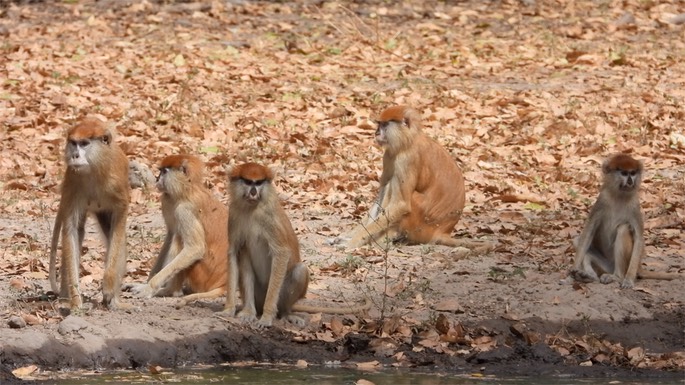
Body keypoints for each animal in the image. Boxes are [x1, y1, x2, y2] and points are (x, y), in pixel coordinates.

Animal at [48, 115, 130, 308]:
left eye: (85, 144)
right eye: (73, 143)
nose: (75, 155)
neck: (94, 168)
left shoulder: (116, 185)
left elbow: (120, 218)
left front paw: (108, 287)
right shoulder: (73, 182)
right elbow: (71, 230)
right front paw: (75, 299)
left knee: (116, 239)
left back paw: (114, 300)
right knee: (76, 234)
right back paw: (65, 297)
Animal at [131, 154, 230, 304]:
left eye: (164, 172)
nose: (157, 179)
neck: (186, 190)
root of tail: (224, 283)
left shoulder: (185, 210)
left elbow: (195, 248)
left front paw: (149, 288)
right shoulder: (167, 201)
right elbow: (170, 234)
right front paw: (145, 284)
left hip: (201, 274)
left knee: (179, 238)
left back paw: (170, 291)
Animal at [222, 162, 372, 328]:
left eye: (259, 183)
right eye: (248, 182)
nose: (254, 192)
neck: (252, 208)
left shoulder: (269, 219)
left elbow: (282, 253)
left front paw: (266, 317)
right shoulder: (234, 214)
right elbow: (233, 252)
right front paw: (228, 309)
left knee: (300, 271)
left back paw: (286, 314)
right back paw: (249, 311)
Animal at [340, 105, 488, 249]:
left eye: (384, 125)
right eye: (379, 124)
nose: (376, 133)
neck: (408, 139)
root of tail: (442, 232)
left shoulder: (407, 159)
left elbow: (402, 205)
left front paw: (353, 242)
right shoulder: (389, 155)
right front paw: (349, 236)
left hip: (420, 226)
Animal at [572, 153, 680, 288]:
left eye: (632, 173)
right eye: (623, 173)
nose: (630, 181)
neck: (620, 196)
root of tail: (639, 267)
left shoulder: (634, 206)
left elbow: (638, 238)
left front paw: (628, 280)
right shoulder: (602, 201)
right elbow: (588, 233)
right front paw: (575, 268)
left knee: (623, 229)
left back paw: (617, 277)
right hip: (606, 265)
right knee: (578, 241)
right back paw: (589, 276)